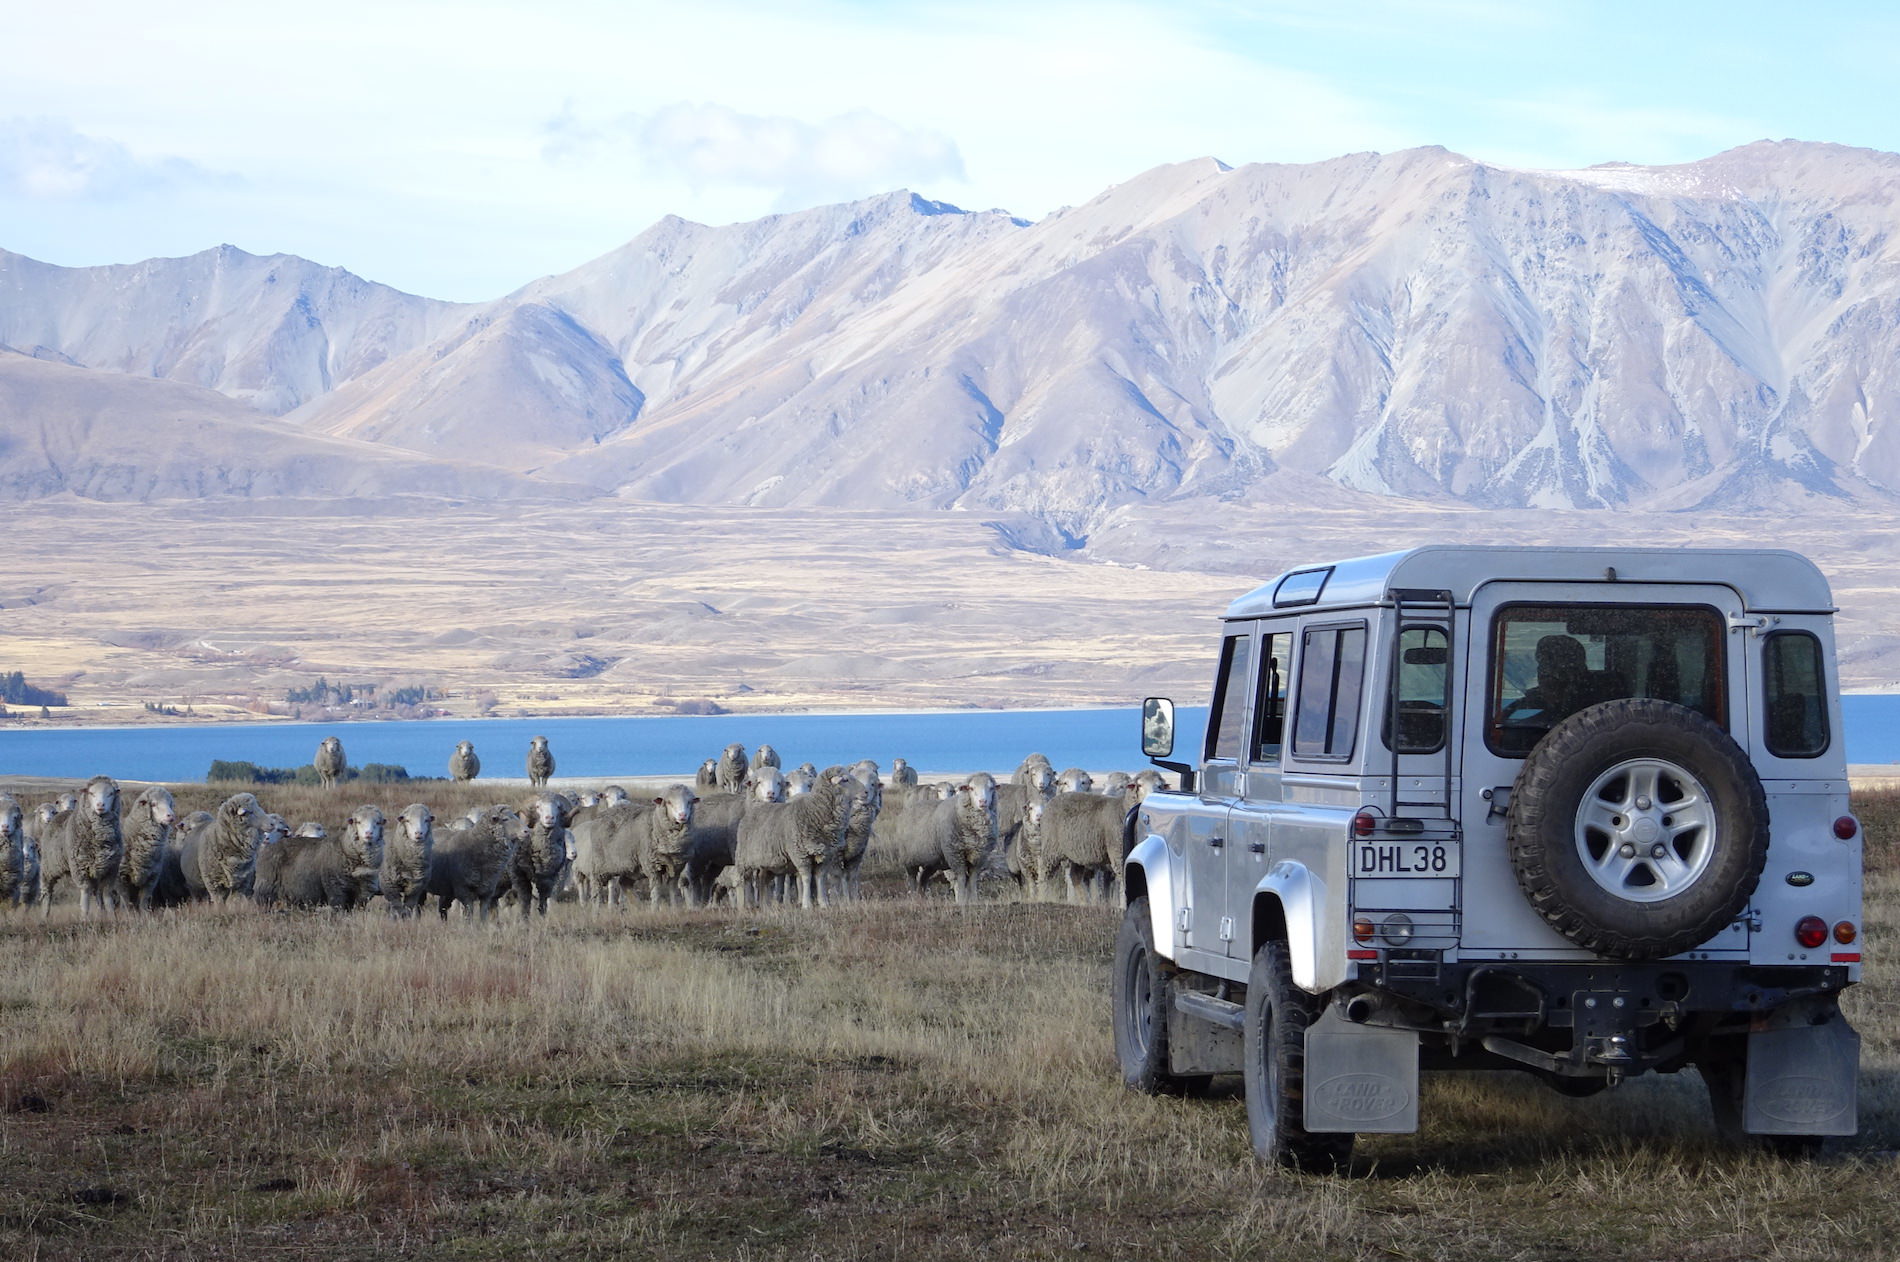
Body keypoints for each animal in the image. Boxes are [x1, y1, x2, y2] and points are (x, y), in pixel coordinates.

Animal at [254, 802, 383, 912]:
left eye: (378, 822)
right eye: (358, 822)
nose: (368, 834)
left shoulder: (362, 894)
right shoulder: (336, 889)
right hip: (265, 890)